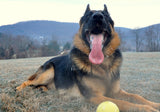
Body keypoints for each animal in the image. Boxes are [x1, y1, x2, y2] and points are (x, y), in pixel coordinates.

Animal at [16, 4, 160, 111]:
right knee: (27, 82)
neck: (103, 65)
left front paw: (155, 104)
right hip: (48, 72)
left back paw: (43, 89)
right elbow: (124, 103)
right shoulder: (95, 96)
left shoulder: (116, 91)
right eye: (88, 16)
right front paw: (147, 109)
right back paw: (19, 89)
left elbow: (137, 97)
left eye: (105, 16)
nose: (98, 17)